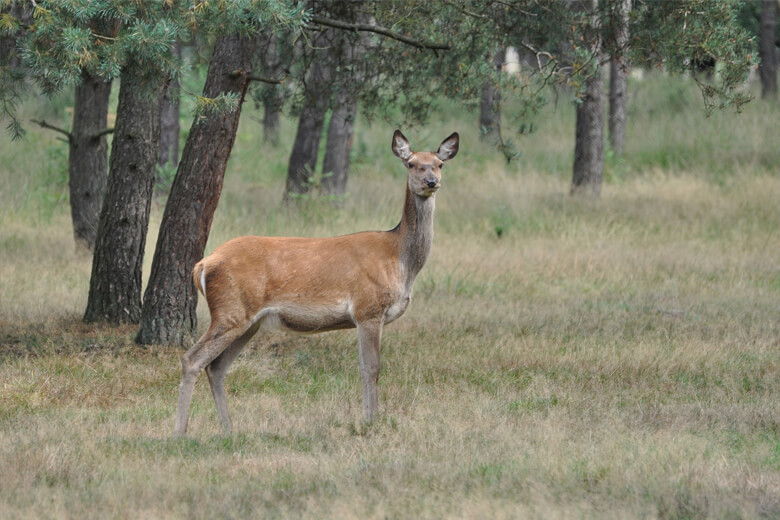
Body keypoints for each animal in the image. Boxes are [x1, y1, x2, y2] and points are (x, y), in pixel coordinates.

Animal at [174, 129, 458, 434]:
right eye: (411, 163)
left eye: (439, 163)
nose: (431, 182)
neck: (400, 259)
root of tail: (203, 264)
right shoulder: (368, 309)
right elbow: (371, 369)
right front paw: (369, 422)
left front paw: (369, 418)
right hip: (230, 310)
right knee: (192, 359)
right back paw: (180, 432)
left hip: (249, 321)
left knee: (216, 367)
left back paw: (229, 429)